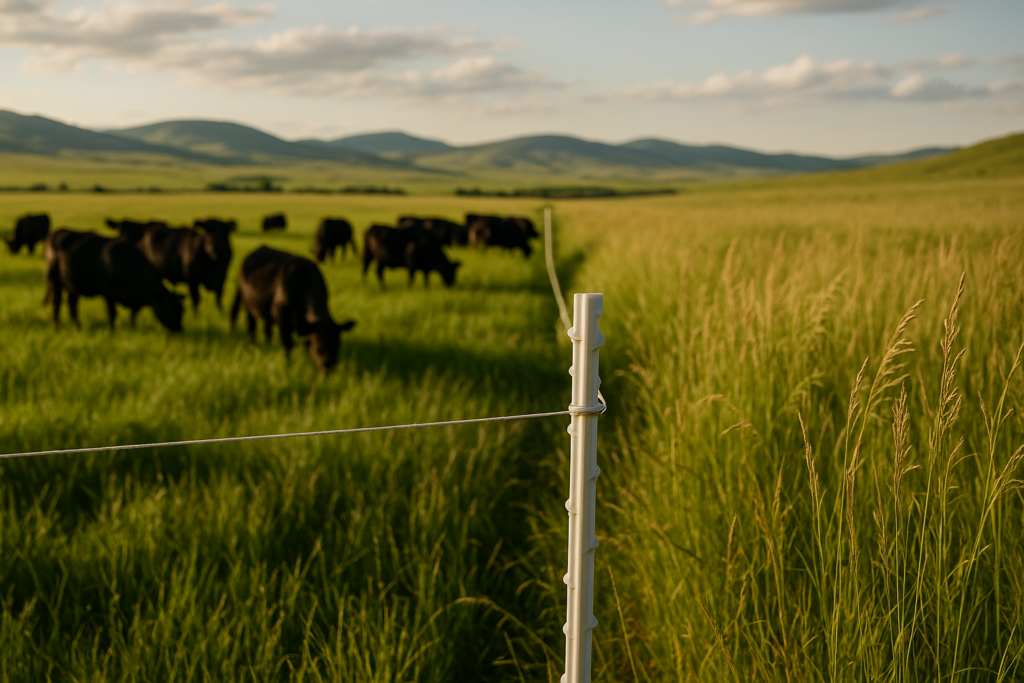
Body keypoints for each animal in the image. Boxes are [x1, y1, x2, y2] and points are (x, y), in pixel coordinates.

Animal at [44, 229, 184, 332]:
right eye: (174, 309)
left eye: (182, 310)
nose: (179, 331)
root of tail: (55, 234)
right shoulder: (109, 294)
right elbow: (113, 314)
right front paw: (111, 331)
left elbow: (134, 314)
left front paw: (133, 328)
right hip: (54, 281)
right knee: (56, 303)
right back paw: (56, 327)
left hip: (73, 286)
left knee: (72, 306)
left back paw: (78, 327)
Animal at [230, 246, 356, 375]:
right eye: (319, 348)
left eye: (337, 346)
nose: (328, 369)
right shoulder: (282, 319)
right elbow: (288, 344)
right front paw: (288, 365)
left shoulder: (306, 326)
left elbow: (306, 344)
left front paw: (308, 362)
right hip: (248, 305)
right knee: (251, 326)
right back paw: (252, 346)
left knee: (267, 329)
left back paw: (268, 344)